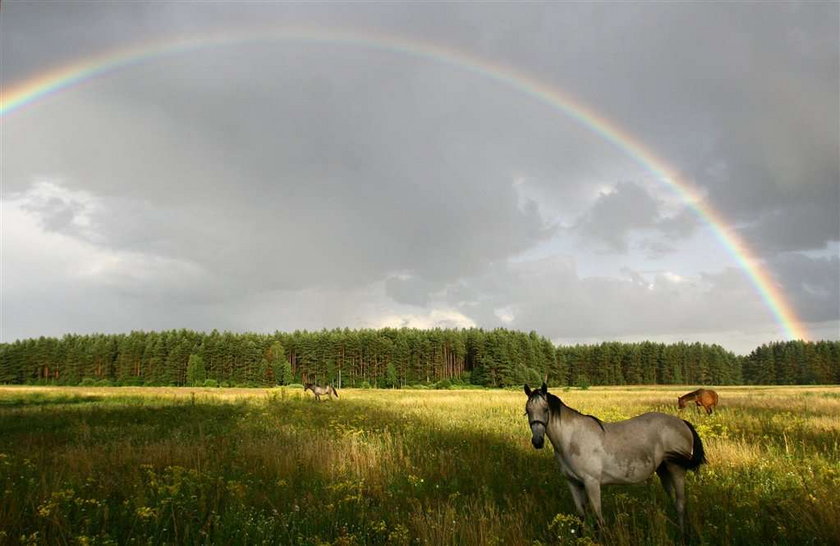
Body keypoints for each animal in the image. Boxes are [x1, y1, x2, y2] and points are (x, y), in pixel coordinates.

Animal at [524, 382, 704, 532]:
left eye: (546, 409)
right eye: (528, 411)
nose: (537, 441)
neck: (571, 440)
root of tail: (682, 422)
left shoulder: (591, 483)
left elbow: (599, 519)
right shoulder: (573, 483)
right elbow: (582, 517)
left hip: (676, 469)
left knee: (680, 503)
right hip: (663, 470)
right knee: (674, 500)